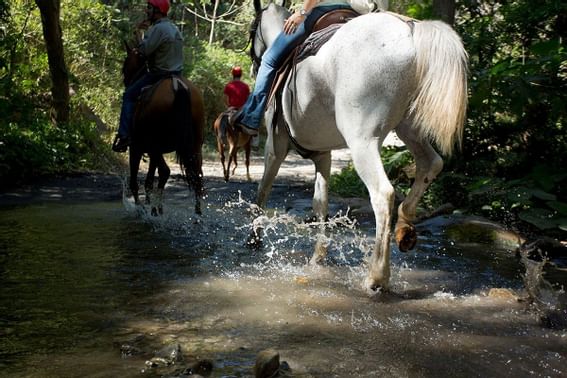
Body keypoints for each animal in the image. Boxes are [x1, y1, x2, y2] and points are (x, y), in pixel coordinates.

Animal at [122, 42, 206, 216]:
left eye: (124, 66)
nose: (126, 81)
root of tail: (177, 86)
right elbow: (149, 180)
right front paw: (151, 205)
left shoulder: (136, 148)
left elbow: (135, 180)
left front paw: (140, 208)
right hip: (194, 147)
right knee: (197, 176)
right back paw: (196, 213)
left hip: (154, 145)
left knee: (165, 171)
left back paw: (154, 211)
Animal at [251, 0, 468, 292]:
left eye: (252, 31)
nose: (253, 65)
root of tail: (411, 31)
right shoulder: (323, 155)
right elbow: (321, 203)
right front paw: (318, 256)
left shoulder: (275, 146)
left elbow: (262, 190)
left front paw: (254, 238)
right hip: (409, 128)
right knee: (431, 163)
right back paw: (405, 228)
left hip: (362, 140)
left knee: (383, 194)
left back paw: (377, 275)